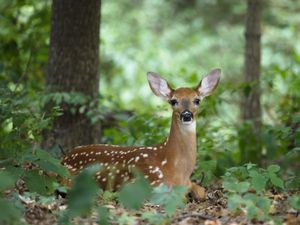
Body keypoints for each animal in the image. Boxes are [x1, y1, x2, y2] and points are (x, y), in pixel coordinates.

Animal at [61, 69, 220, 200]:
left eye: (197, 100)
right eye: (173, 101)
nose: (186, 115)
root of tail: (64, 158)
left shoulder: (189, 183)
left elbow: (201, 191)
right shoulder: (144, 184)